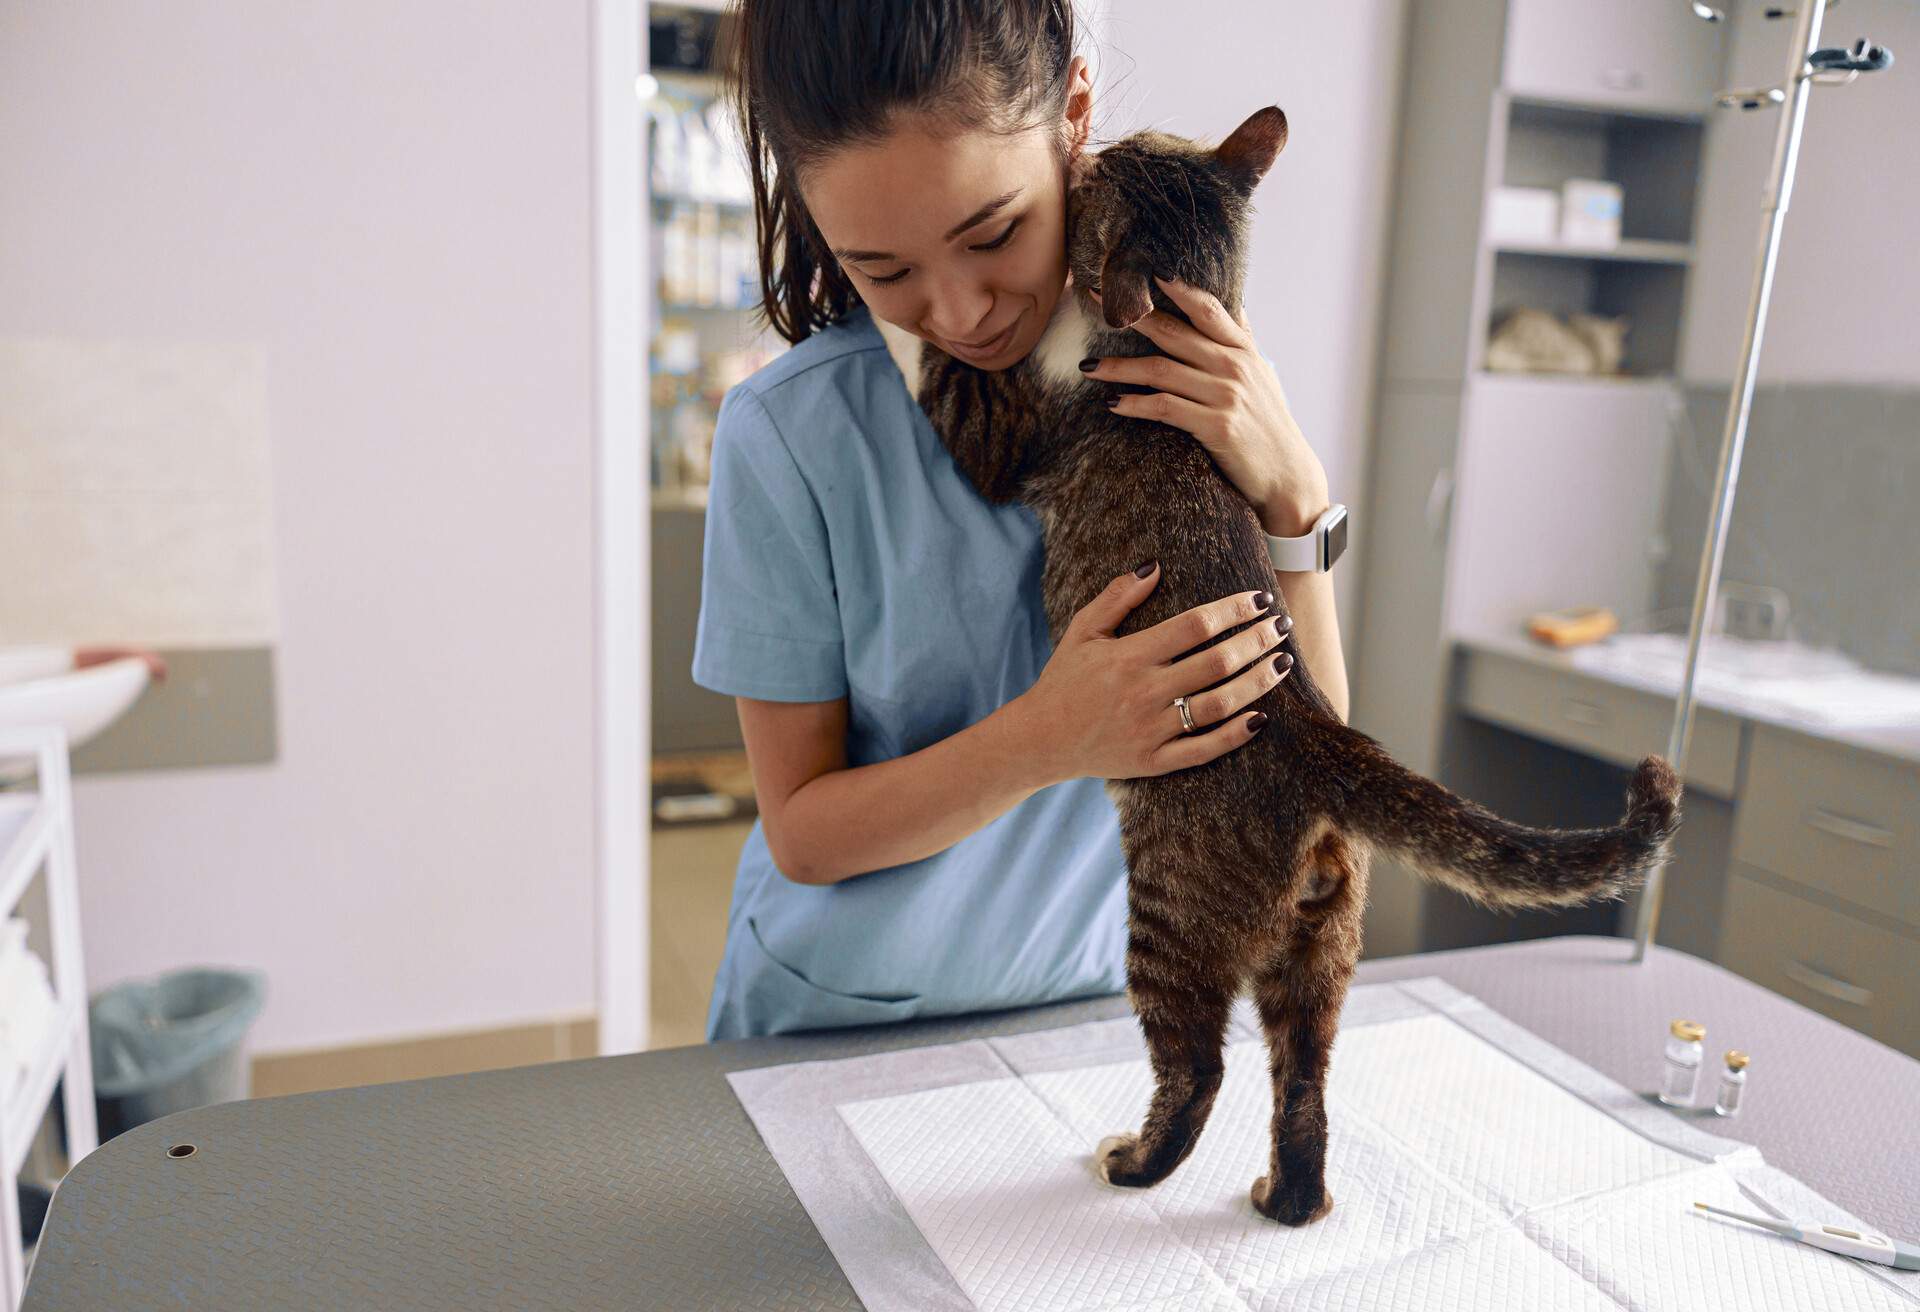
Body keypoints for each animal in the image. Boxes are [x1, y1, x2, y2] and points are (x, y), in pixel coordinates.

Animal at [879, 107, 1674, 1229]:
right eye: (1133, 147)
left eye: (1102, 179)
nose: (1089, 147)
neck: (1157, 329)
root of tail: (1314, 729)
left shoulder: (1012, 435)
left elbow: (954, 381)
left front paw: (891, 315)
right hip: (1324, 949)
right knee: (1306, 1081)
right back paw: (1289, 1197)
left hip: (1168, 914)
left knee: (1200, 1066)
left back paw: (1136, 1161)